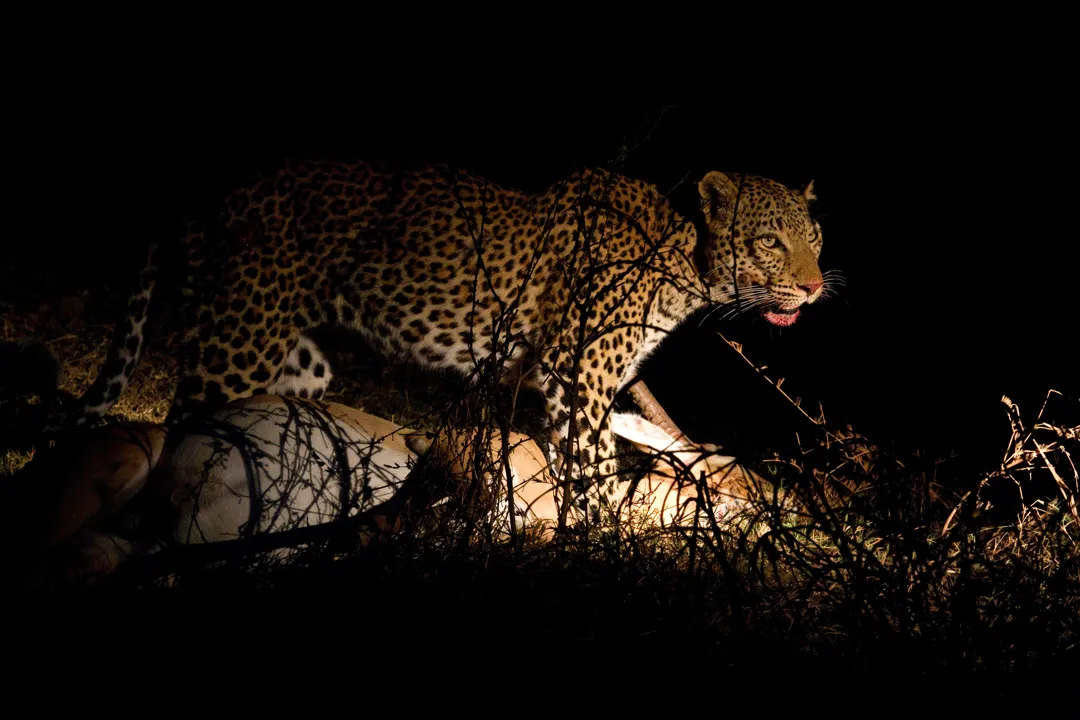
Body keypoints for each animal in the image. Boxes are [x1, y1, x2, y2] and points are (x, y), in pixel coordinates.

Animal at [35, 159, 828, 523]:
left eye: (815, 238)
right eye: (770, 241)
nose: (818, 288)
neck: (687, 265)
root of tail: (210, 193)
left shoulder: (576, 383)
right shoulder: (582, 376)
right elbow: (596, 471)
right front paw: (610, 548)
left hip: (301, 366)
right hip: (239, 339)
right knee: (183, 428)